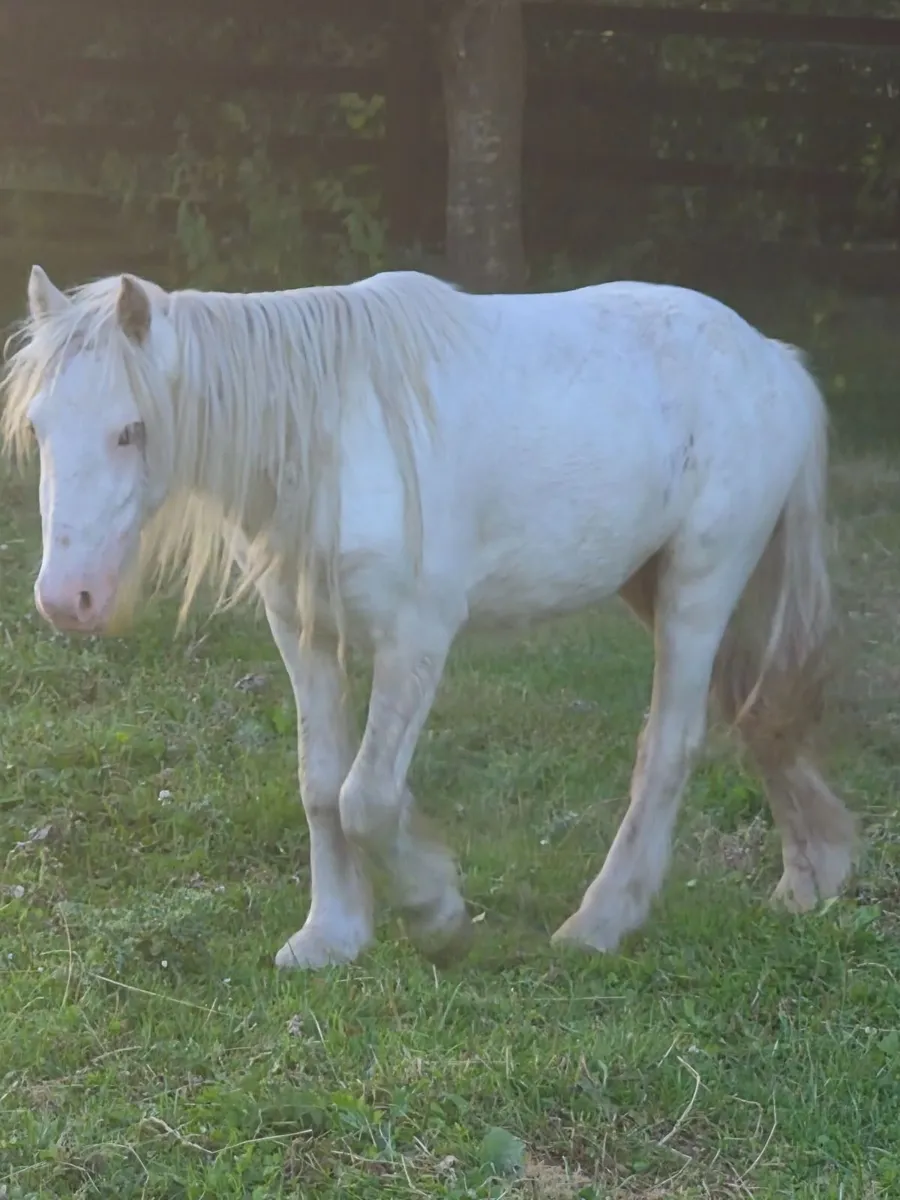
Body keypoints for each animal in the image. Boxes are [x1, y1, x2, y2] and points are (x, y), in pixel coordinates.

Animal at [1, 263, 858, 971]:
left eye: (131, 429)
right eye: (39, 427)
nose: (67, 599)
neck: (332, 435)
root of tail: (774, 360)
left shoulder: (416, 639)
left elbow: (367, 798)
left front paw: (437, 914)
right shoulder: (305, 632)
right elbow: (322, 784)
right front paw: (332, 935)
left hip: (698, 589)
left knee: (671, 748)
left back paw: (601, 923)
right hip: (658, 587)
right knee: (759, 716)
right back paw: (812, 877)